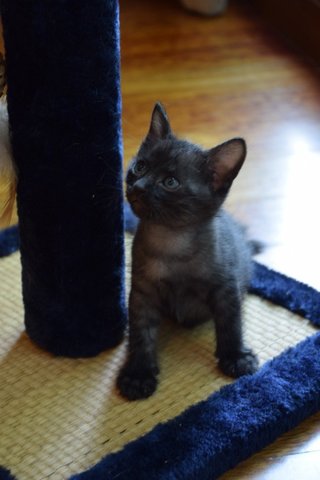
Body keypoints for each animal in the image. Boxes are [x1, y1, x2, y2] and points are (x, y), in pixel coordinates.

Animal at [119, 103, 258, 400]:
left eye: (170, 182)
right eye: (140, 166)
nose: (138, 186)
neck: (172, 243)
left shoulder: (226, 288)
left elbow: (230, 323)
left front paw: (236, 357)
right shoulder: (143, 293)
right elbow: (141, 333)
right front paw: (138, 374)